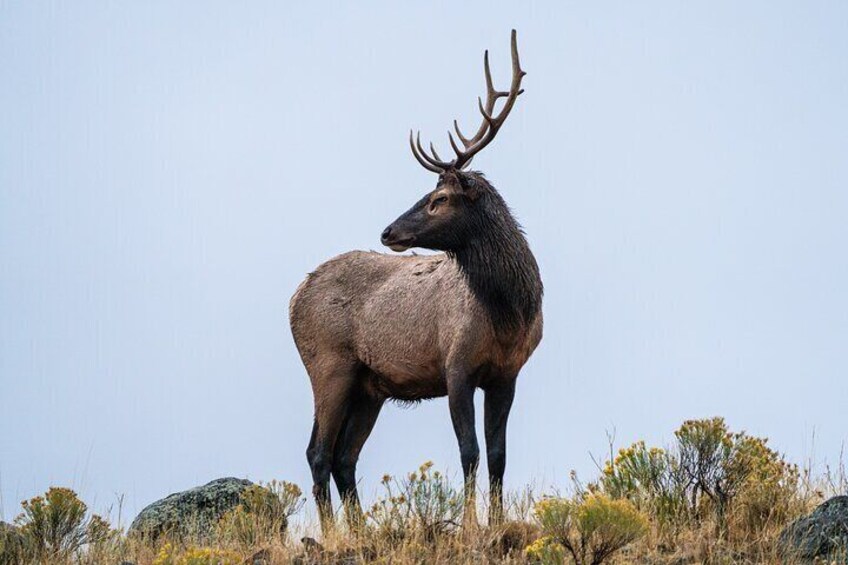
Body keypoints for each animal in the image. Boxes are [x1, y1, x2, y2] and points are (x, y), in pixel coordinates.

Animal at [290, 30, 544, 532]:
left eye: (439, 198)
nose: (388, 231)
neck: (510, 310)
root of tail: (292, 298)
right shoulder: (456, 365)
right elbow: (469, 451)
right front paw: (470, 527)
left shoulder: (507, 374)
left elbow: (499, 455)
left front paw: (497, 522)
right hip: (329, 364)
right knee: (317, 453)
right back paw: (334, 536)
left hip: (369, 386)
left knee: (344, 457)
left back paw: (360, 531)